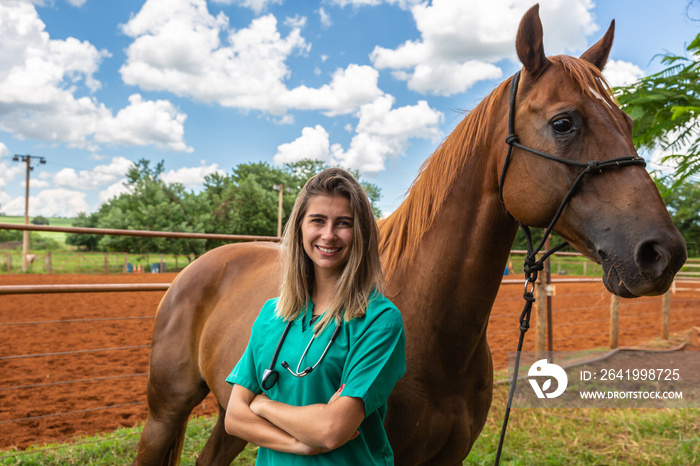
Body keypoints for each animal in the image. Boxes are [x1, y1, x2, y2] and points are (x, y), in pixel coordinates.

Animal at [134, 4, 688, 466]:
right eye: (564, 123)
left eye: (627, 123)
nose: (663, 254)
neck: (433, 329)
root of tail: (199, 268)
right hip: (164, 415)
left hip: (234, 417)